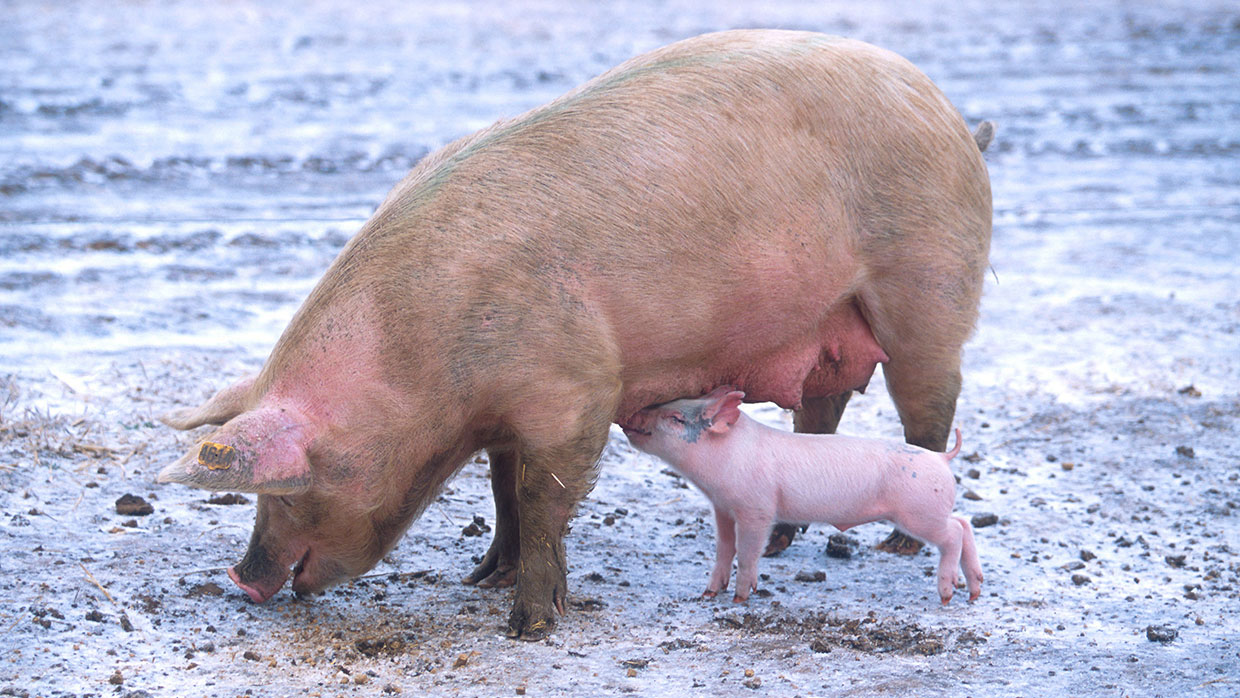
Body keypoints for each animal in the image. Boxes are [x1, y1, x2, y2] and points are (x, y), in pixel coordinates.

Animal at [623, 387, 983, 604]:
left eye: (675, 418)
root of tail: (942, 458)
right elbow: (724, 549)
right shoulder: (723, 508)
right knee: (964, 523)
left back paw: (948, 594)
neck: (726, 457)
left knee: (953, 533)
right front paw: (708, 594)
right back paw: (974, 591)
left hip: (919, 512)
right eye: (668, 405)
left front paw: (740, 598)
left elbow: (748, 551)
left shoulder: (757, 508)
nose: (631, 415)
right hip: (930, 510)